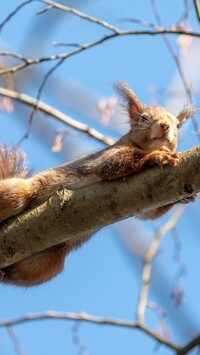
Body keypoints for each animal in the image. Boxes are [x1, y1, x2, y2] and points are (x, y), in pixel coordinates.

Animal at [0, 82, 195, 288]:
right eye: (143, 117)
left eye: (177, 125)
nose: (165, 126)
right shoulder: (110, 154)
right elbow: (111, 164)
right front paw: (157, 156)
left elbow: (148, 214)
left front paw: (185, 198)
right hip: (18, 194)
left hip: (45, 265)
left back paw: (4, 273)